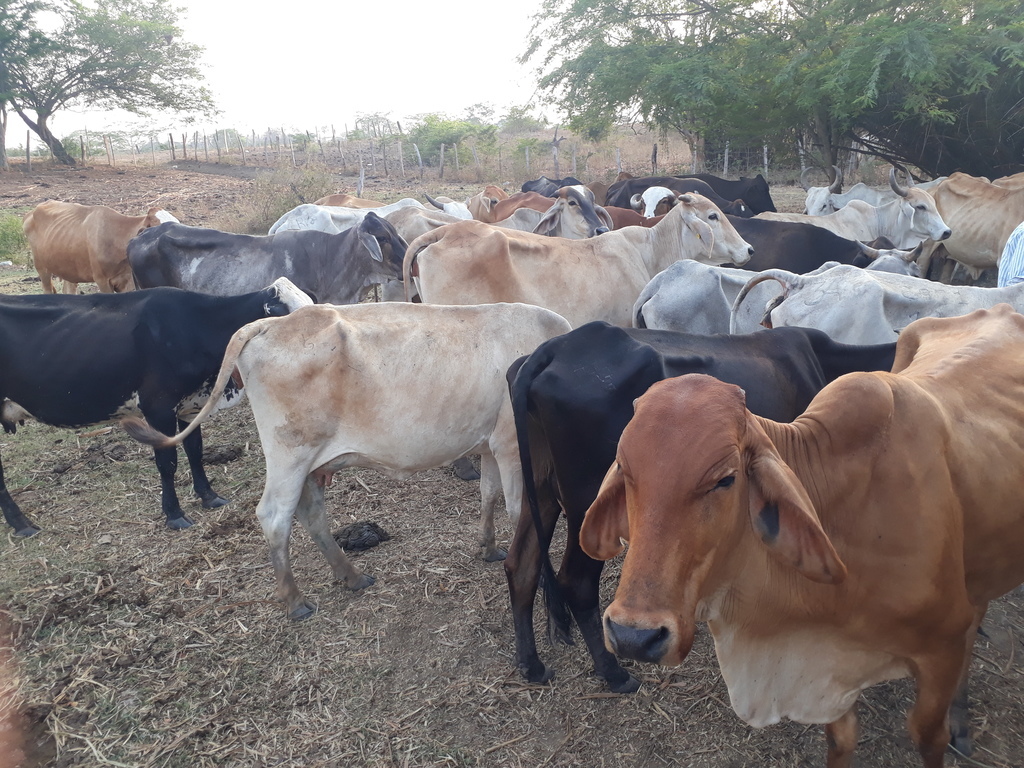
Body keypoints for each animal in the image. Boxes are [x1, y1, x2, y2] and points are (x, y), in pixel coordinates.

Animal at [0, 278, 312, 537]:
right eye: (287, 317)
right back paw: (23, 525)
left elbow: (195, 450)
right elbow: (168, 462)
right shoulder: (158, 409)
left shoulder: (190, 406)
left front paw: (209, 496)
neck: (195, 325)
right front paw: (174, 514)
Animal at [124, 302, 573, 620]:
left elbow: (488, 495)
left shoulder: (492, 443)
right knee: (274, 516)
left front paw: (488, 547)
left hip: (309, 464)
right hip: (289, 455)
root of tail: (269, 324)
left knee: (311, 515)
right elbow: (519, 510)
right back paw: (295, 600)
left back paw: (351, 575)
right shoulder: (512, 445)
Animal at [504, 321, 898, 694]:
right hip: (584, 503)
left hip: (541, 487)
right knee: (577, 583)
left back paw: (531, 664)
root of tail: (552, 349)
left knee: (520, 564)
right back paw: (613, 673)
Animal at [582, 305, 1024, 765]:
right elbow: (841, 739)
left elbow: (928, 736)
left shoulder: (942, 648)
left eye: (725, 479)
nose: (634, 636)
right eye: (625, 470)